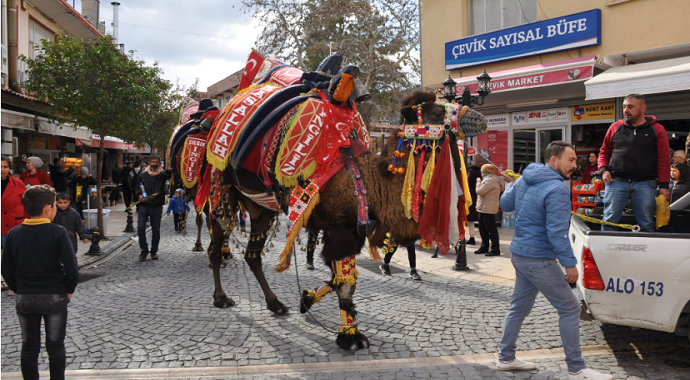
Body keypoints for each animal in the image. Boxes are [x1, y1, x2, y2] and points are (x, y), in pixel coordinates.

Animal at [167, 52, 486, 348]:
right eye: (436, 110)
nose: (477, 118)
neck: (367, 180)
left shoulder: (350, 229)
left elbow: (342, 279)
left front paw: (306, 300)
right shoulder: (339, 228)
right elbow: (344, 285)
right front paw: (349, 337)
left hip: (261, 208)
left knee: (252, 255)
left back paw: (275, 304)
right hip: (222, 188)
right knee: (216, 240)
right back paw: (221, 297)